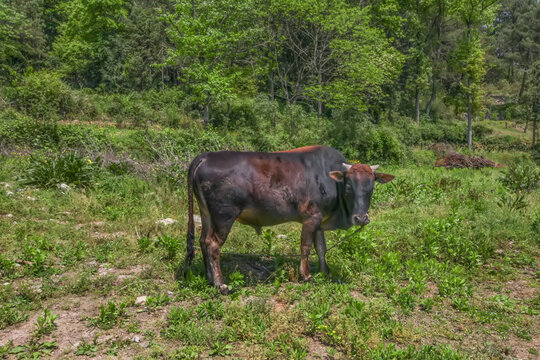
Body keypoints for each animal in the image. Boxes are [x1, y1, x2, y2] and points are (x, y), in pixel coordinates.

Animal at [184, 144, 394, 292]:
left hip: (207, 213)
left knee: (202, 241)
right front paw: (306, 275)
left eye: (371, 186)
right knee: (212, 244)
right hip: (224, 215)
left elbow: (321, 248)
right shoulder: (311, 217)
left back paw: (210, 278)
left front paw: (325, 272)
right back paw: (221, 284)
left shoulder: (319, 220)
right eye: (349, 186)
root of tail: (206, 155)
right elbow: (306, 247)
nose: (361, 218)